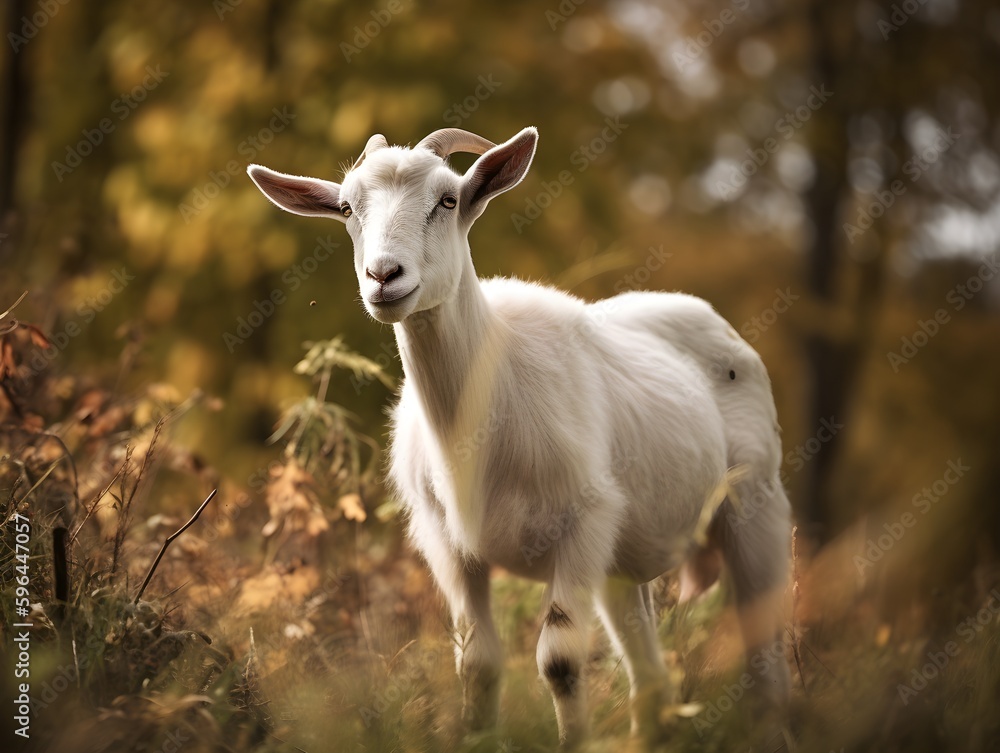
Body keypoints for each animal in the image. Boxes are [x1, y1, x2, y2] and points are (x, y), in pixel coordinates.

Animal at [248, 127, 791, 747]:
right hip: (621, 566)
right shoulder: (448, 543)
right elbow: (477, 662)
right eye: (345, 208)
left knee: (766, 660)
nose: (384, 277)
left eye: (448, 200)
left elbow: (559, 660)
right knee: (652, 677)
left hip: (755, 506)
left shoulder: (583, 523)